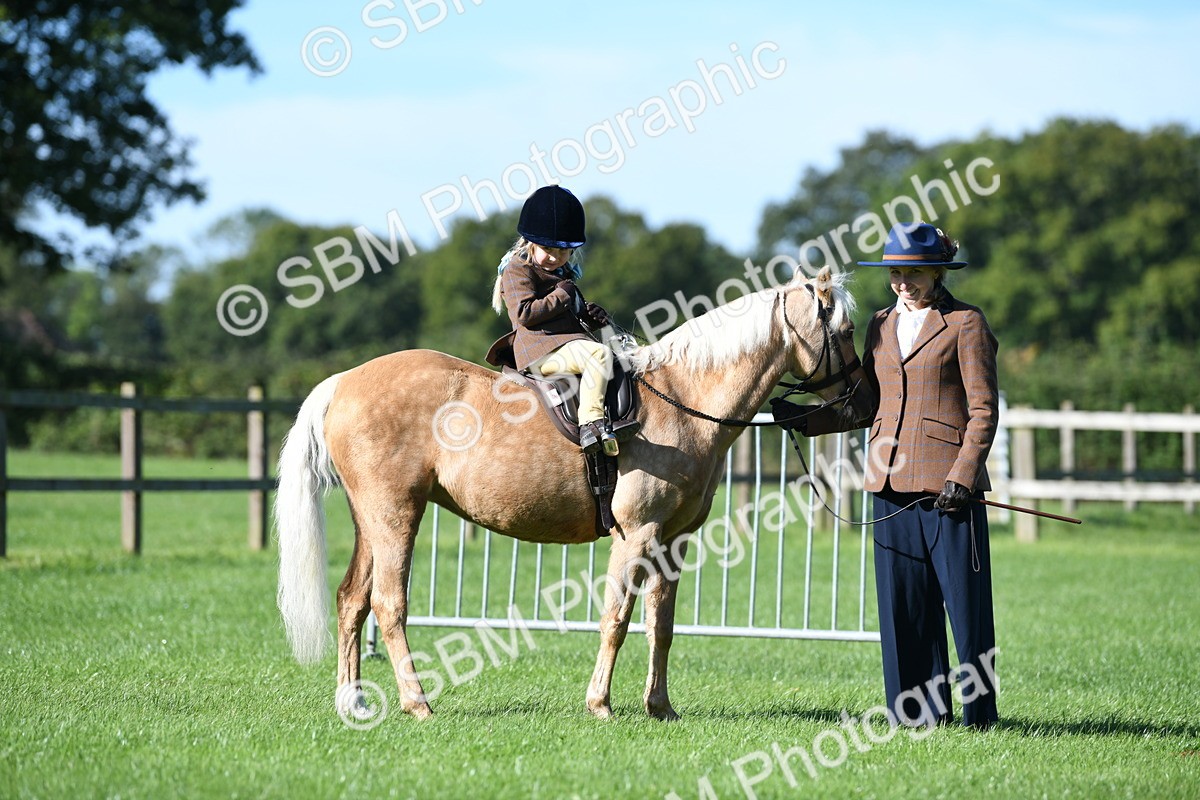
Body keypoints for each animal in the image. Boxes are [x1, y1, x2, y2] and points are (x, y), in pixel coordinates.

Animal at [275, 264, 871, 721]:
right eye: (843, 331)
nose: (863, 405)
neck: (683, 400)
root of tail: (345, 381)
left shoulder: (672, 543)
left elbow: (661, 626)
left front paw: (661, 708)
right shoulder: (636, 536)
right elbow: (616, 620)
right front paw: (601, 704)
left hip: (371, 519)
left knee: (352, 599)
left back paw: (352, 703)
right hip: (397, 514)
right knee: (388, 603)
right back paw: (417, 702)